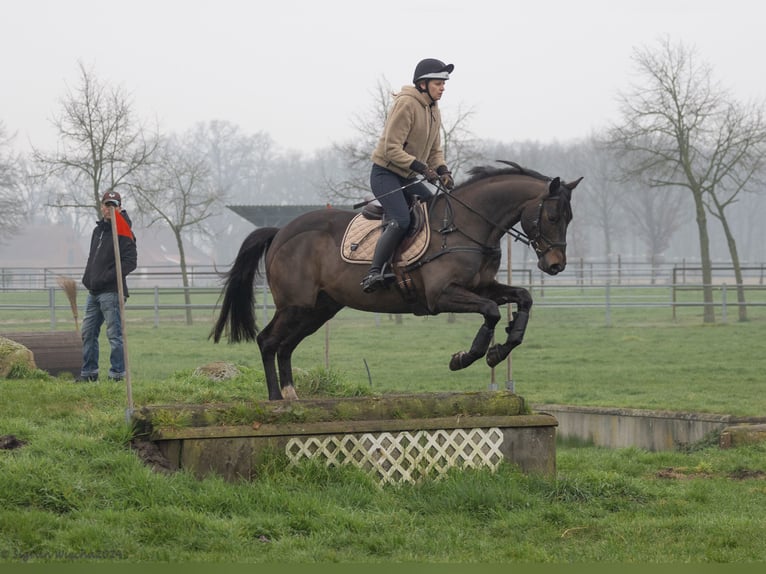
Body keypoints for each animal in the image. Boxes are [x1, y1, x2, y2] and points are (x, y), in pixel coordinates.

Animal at [210, 163, 584, 400]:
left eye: (569, 218)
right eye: (553, 216)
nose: (556, 265)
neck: (465, 226)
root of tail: (280, 232)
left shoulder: (481, 287)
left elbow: (523, 298)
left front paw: (501, 348)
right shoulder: (441, 296)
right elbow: (491, 311)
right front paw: (467, 357)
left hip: (319, 309)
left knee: (285, 345)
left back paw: (291, 395)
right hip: (295, 305)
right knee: (267, 341)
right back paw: (275, 398)